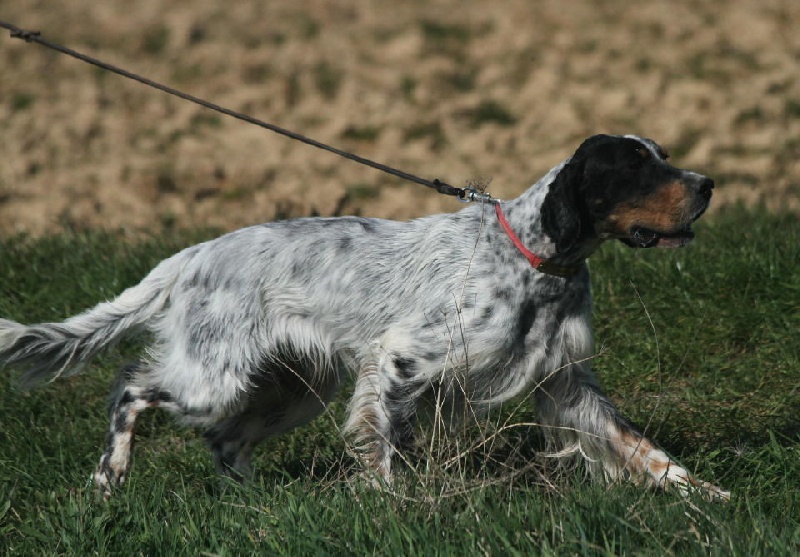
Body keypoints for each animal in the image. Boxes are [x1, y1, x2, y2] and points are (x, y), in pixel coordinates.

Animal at [0, 132, 732, 498]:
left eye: (665, 157)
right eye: (635, 167)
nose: (708, 184)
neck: (536, 259)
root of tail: (192, 253)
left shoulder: (567, 384)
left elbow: (643, 450)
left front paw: (710, 495)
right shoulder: (402, 359)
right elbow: (384, 447)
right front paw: (390, 509)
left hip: (291, 388)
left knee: (225, 441)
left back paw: (255, 502)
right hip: (216, 377)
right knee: (130, 387)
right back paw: (109, 476)